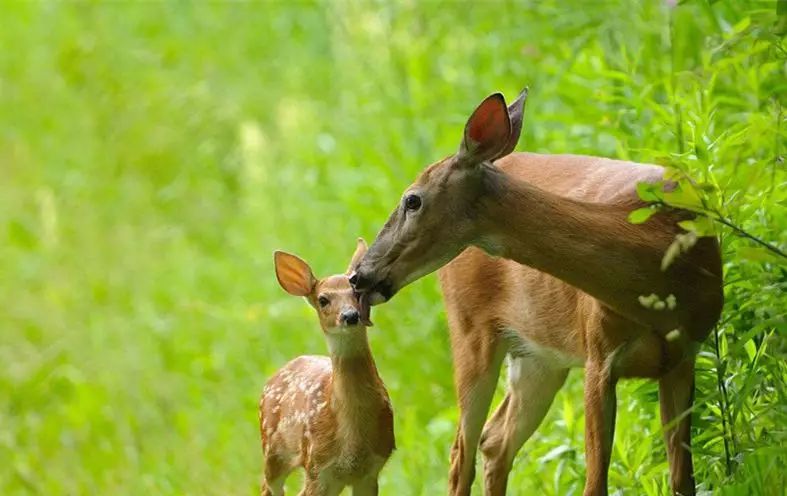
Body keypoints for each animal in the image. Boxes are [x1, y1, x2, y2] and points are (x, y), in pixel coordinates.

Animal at [354, 90, 724, 496]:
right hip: (470, 328)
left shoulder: (684, 354)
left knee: (494, 439)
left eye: (412, 200)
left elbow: (681, 479)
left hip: (538, 355)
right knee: (461, 453)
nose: (359, 275)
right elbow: (596, 483)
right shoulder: (598, 354)